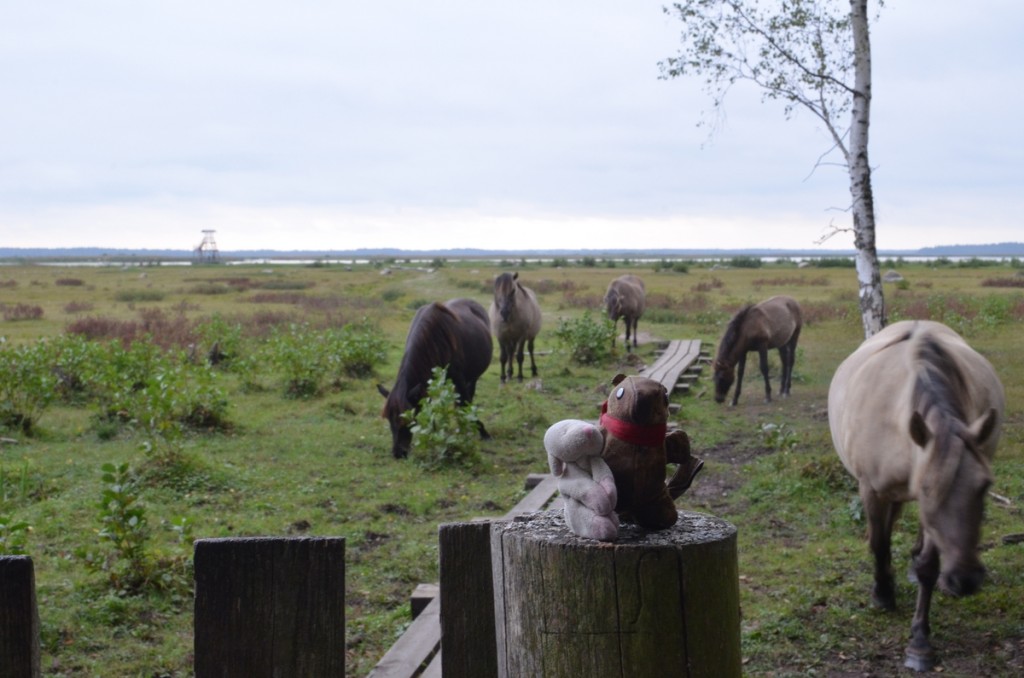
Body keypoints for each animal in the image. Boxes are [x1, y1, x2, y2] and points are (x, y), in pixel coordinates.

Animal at [377, 298, 492, 459]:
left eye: (409, 420)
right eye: (388, 419)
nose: (398, 453)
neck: (433, 337)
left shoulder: (458, 379)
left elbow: (466, 402)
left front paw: (482, 431)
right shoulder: (425, 384)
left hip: (472, 378)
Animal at [828, 320, 1004, 672]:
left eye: (985, 486)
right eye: (926, 489)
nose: (966, 579)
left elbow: (928, 567)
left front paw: (920, 642)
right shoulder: (872, 490)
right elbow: (879, 543)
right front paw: (883, 594)